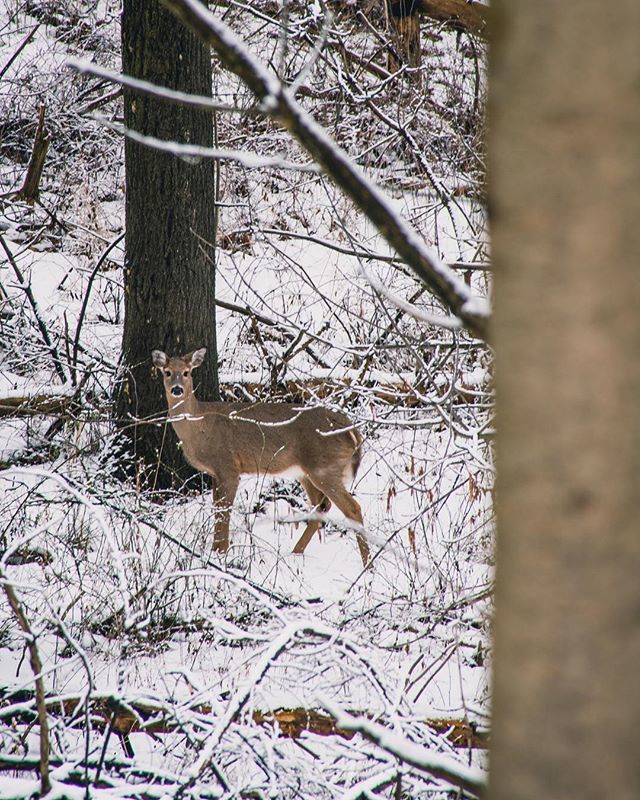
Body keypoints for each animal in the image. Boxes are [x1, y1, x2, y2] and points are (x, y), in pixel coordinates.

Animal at [152, 348, 370, 566]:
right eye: (167, 372)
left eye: (186, 372)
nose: (177, 389)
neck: (200, 428)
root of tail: (352, 431)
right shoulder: (215, 473)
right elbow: (217, 509)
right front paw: (216, 551)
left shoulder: (228, 466)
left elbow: (224, 511)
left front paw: (220, 553)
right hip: (306, 472)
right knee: (322, 506)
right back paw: (295, 553)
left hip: (324, 466)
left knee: (352, 508)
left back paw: (367, 563)